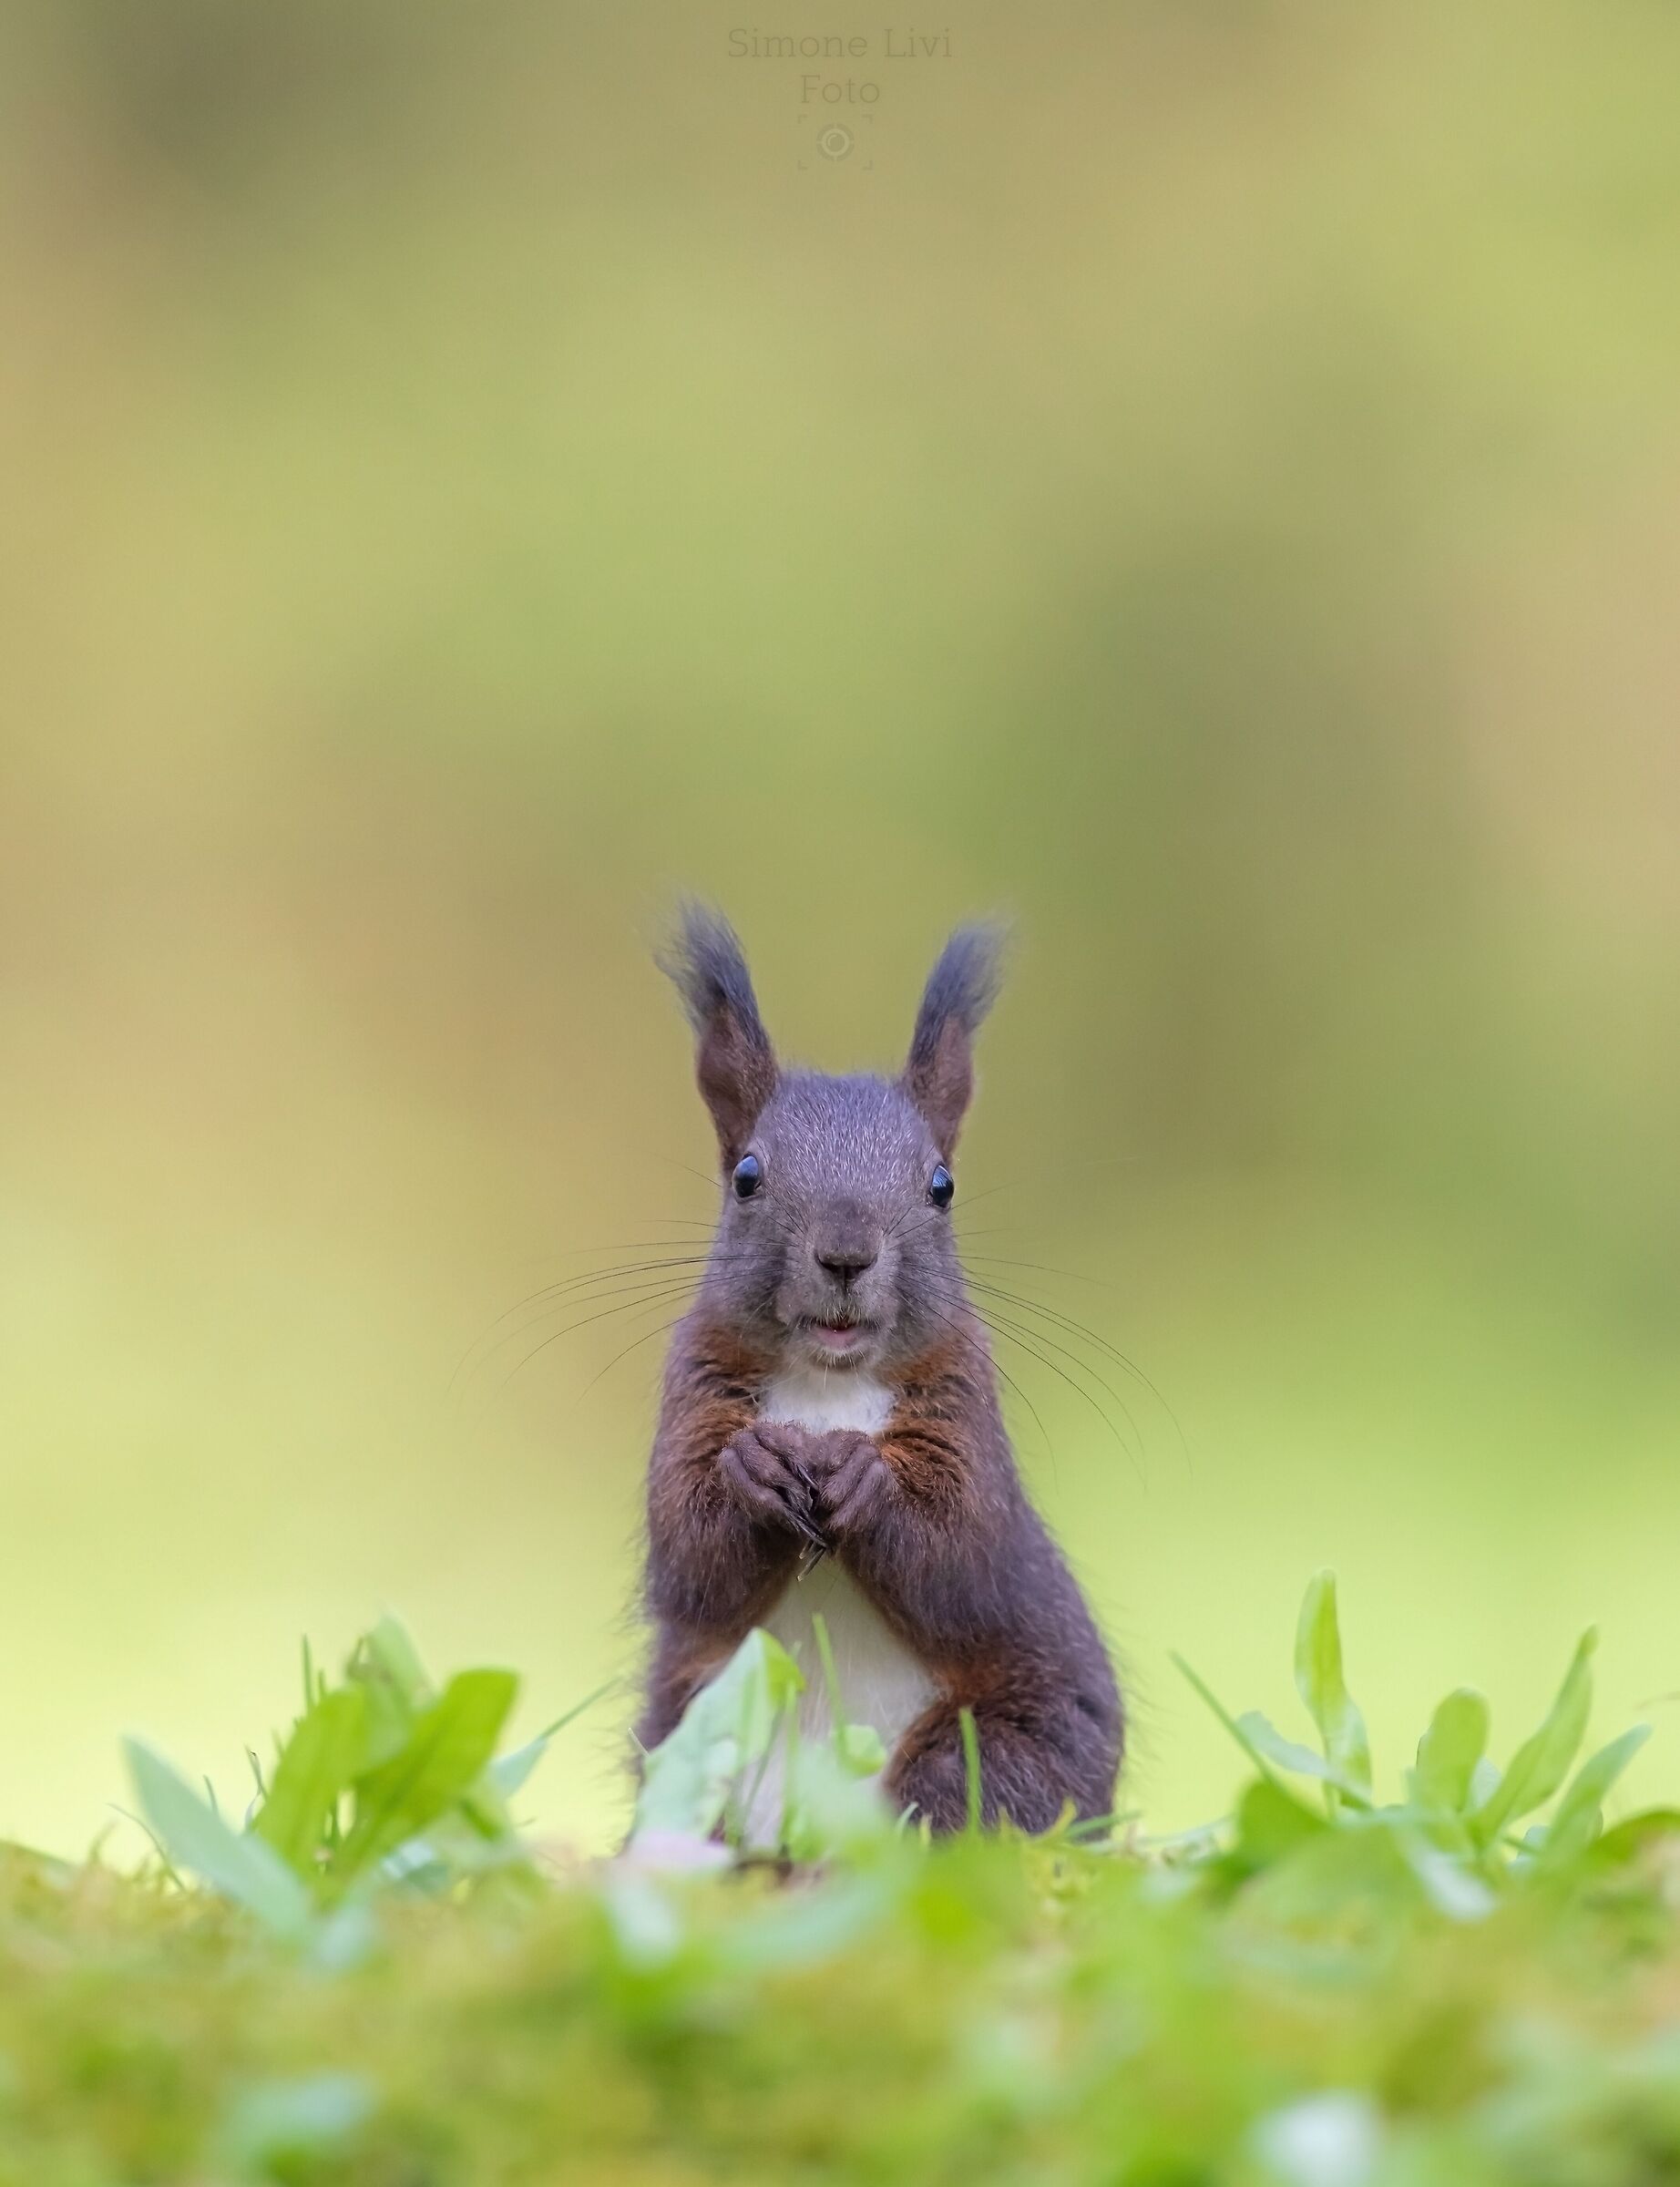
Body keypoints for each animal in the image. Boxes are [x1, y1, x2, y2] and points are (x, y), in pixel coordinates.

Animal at [636, 906, 1123, 1835]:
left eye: (941, 1185)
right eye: (746, 1176)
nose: (845, 1253)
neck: (827, 1387)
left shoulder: (967, 1396)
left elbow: (963, 1559)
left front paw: (871, 1480)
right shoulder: (692, 1382)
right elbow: (688, 1559)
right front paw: (753, 1467)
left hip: (1009, 1740)